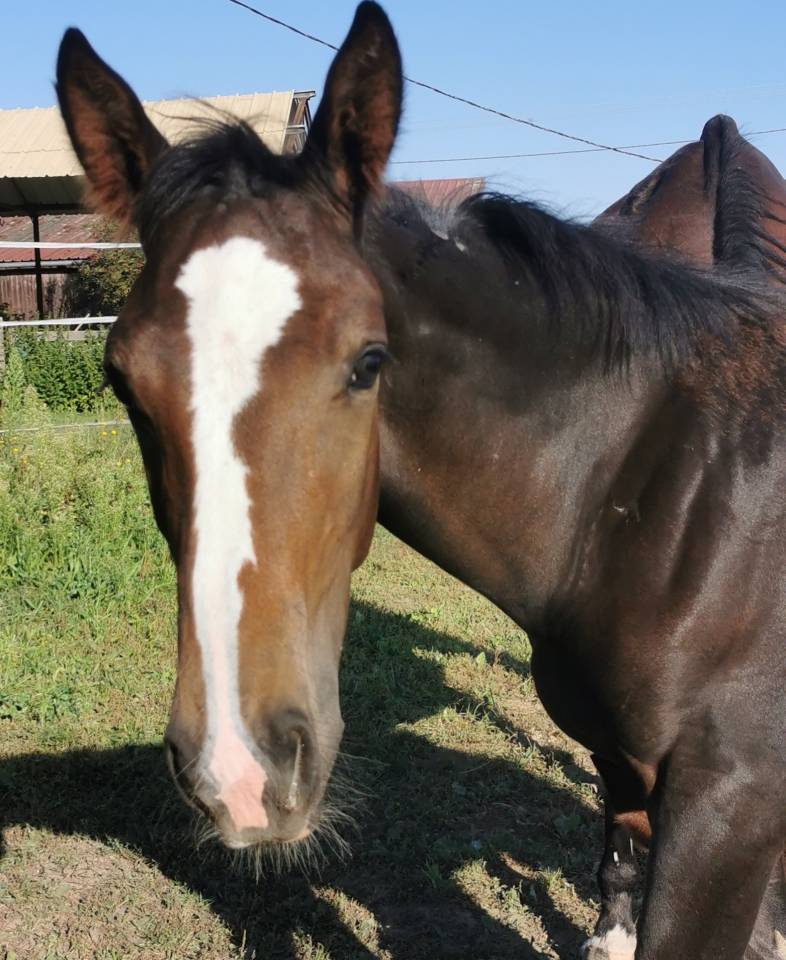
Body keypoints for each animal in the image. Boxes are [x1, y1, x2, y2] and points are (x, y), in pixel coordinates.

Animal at [55, 4, 786, 958]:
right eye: (121, 381)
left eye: (370, 362)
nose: (241, 768)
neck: (665, 493)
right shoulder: (624, 759)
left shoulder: (729, 809)